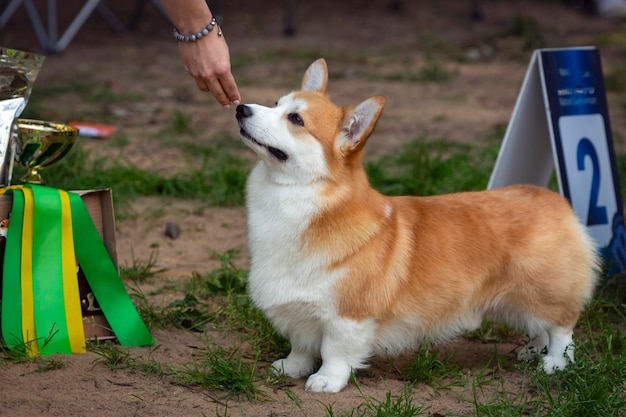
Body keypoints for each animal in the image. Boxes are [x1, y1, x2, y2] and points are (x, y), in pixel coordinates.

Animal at [234, 59, 600, 394]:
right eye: (277, 103)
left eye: (296, 119)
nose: (240, 108)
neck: (298, 199)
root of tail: (554, 199)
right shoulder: (297, 309)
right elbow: (301, 344)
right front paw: (291, 367)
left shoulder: (348, 314)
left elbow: (334, 350)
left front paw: (326, 381)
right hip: (517, 297)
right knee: (538, 326)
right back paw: (533, 350)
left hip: (544, 290)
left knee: (562, 327)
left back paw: (554, 362)